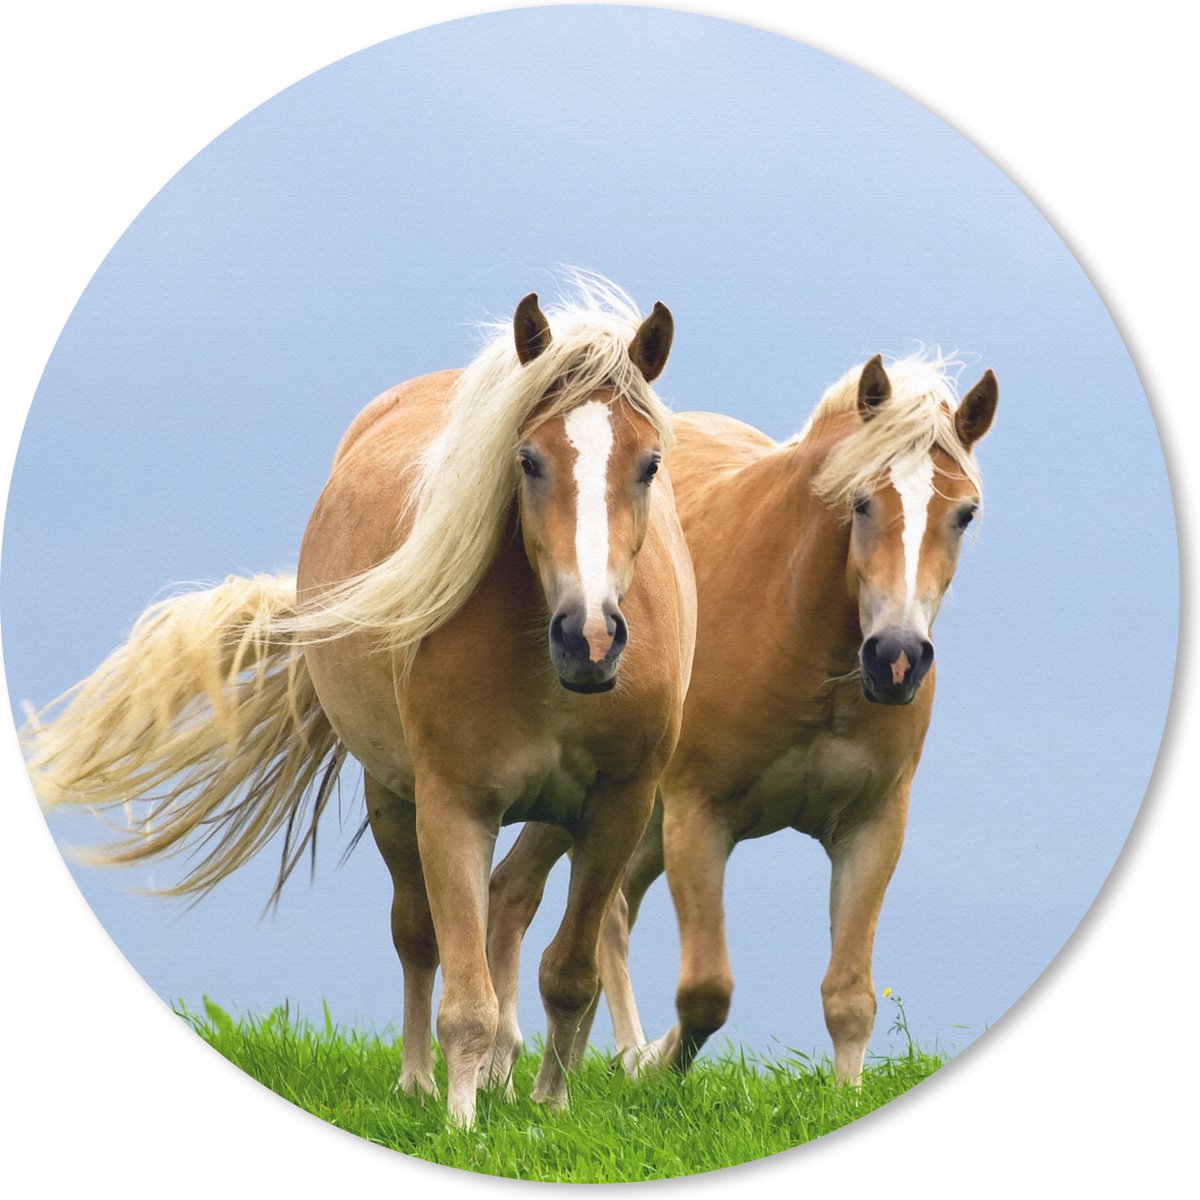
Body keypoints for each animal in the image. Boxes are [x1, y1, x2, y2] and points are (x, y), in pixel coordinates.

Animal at [23, 277, 697, 1128]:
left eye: (649, 465)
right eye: (528, 460)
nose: (592, 637)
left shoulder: (618, 809)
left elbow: (570, 974)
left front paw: (550, 1109)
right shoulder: (453, 806)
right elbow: (463, 996)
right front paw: (463, 1126)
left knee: (513, 911)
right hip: (392, 796)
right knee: (418, 937)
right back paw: (420, 1084)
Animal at [488, 351, 997, 1083]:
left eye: (964, 514)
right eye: (860, 501)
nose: (896, 659)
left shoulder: (873, 826)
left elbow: (850, 996)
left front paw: (845, 1094)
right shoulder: (699, 816)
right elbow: (706, 991)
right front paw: (654, 1065)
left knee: (565, 901)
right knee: (553, 904)